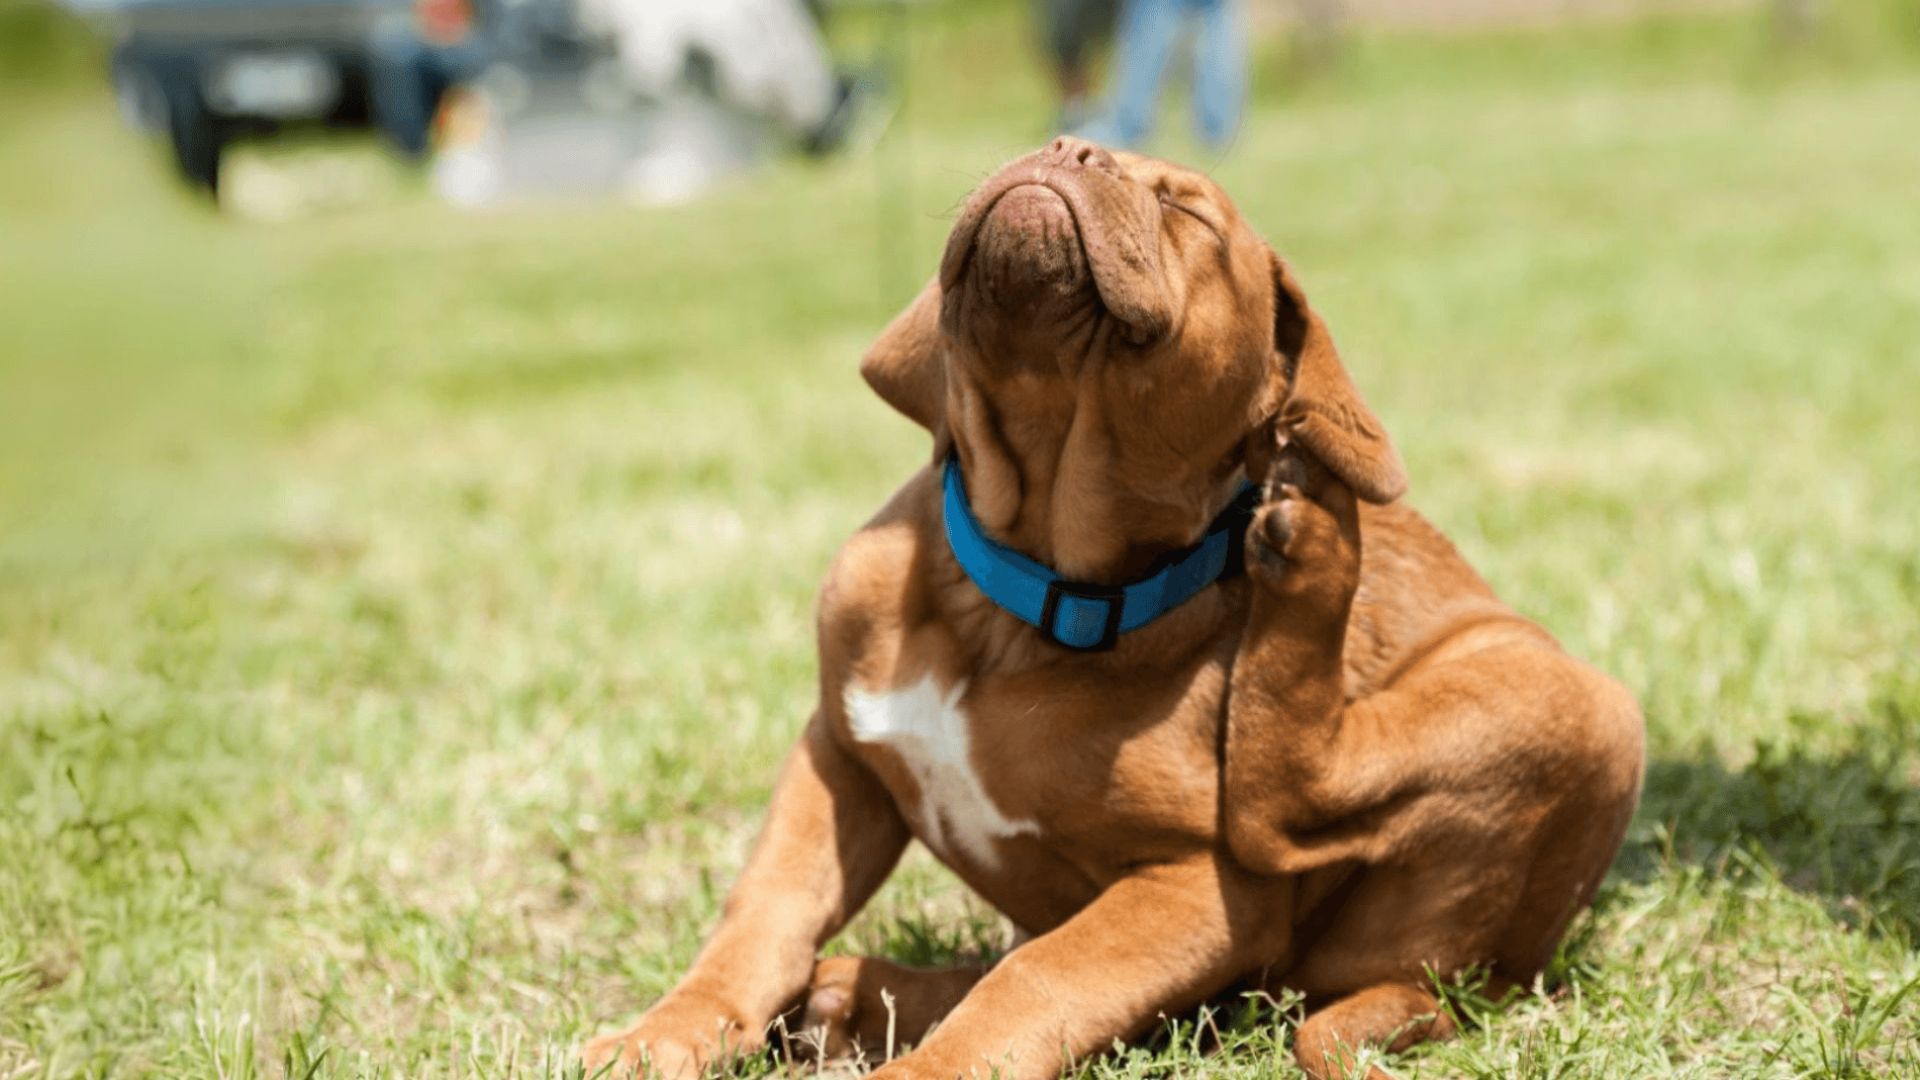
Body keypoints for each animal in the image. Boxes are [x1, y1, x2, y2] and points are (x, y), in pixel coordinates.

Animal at [579, 138, 1635, 1076]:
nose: (1068, 147)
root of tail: (1483, 980)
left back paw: (1318, 542)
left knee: (1293, 805)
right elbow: (764, 914)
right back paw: (854, 999)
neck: (1018, 596)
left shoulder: (1199, 890)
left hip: (1572, 703)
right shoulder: (838, 759)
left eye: (1190, 214)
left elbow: (1039, 983)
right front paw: (666, 1033)